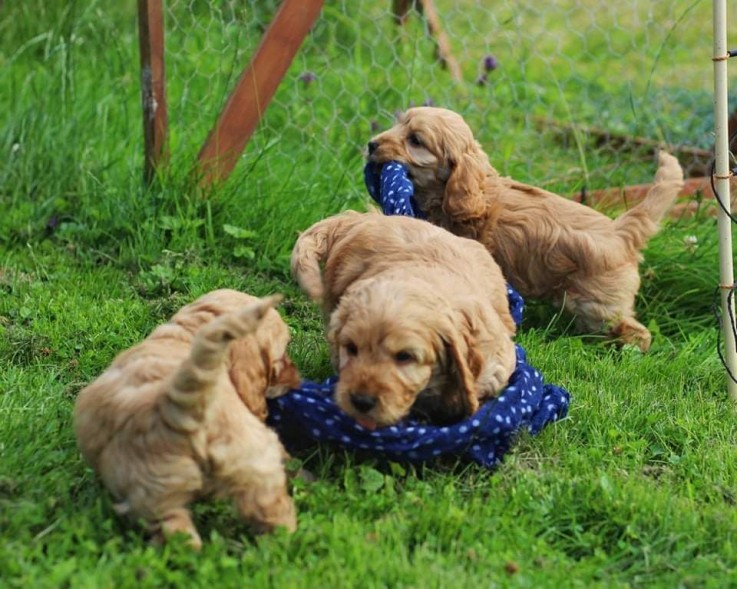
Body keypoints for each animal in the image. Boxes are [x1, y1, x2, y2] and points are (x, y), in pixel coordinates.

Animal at [74, 288, 302, 548]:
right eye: (282, 353)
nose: (298, 378)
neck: (190, 332)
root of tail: (172, 410)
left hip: (154, 493)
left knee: (178, 534)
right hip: (251, 452)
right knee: (276, 510)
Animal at [368, 105, 684, 350]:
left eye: (416, 140)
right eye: (398, 123)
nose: (371, 144)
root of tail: (622, 231)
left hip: (597, 304)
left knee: (636, 332)